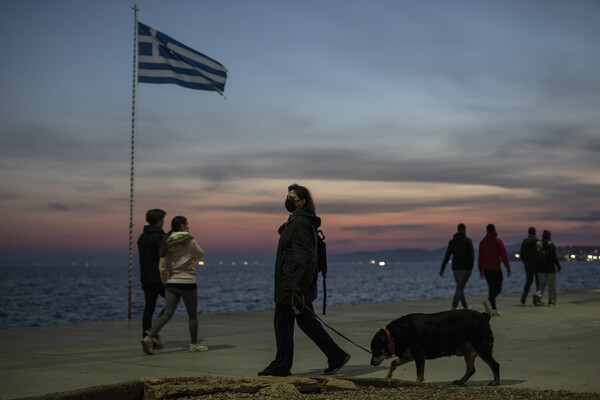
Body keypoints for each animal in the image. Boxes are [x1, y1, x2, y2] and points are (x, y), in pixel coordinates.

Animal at [370, 308, 502, 386]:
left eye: (375, 350)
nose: (371, 363)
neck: (394, 335)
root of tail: (484, 316)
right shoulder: (409, 355)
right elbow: (393, 363)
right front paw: (387, 376)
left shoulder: (419, 355)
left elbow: (419, 372)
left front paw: (417, 383)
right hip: (469, 352)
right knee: (471, 369)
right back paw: (461, 381)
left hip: (481, 348)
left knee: (495, 365)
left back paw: (495, 382)